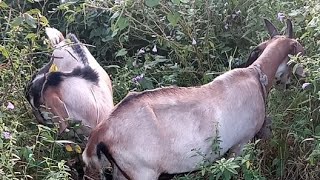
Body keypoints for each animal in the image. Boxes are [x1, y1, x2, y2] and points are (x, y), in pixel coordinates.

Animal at [82, 19, 302, 179]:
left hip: (121, 172)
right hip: (143, 173)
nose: (298, 80)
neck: (257, 75)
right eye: (301, 50)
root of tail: (101, 132)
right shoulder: (241, 143)